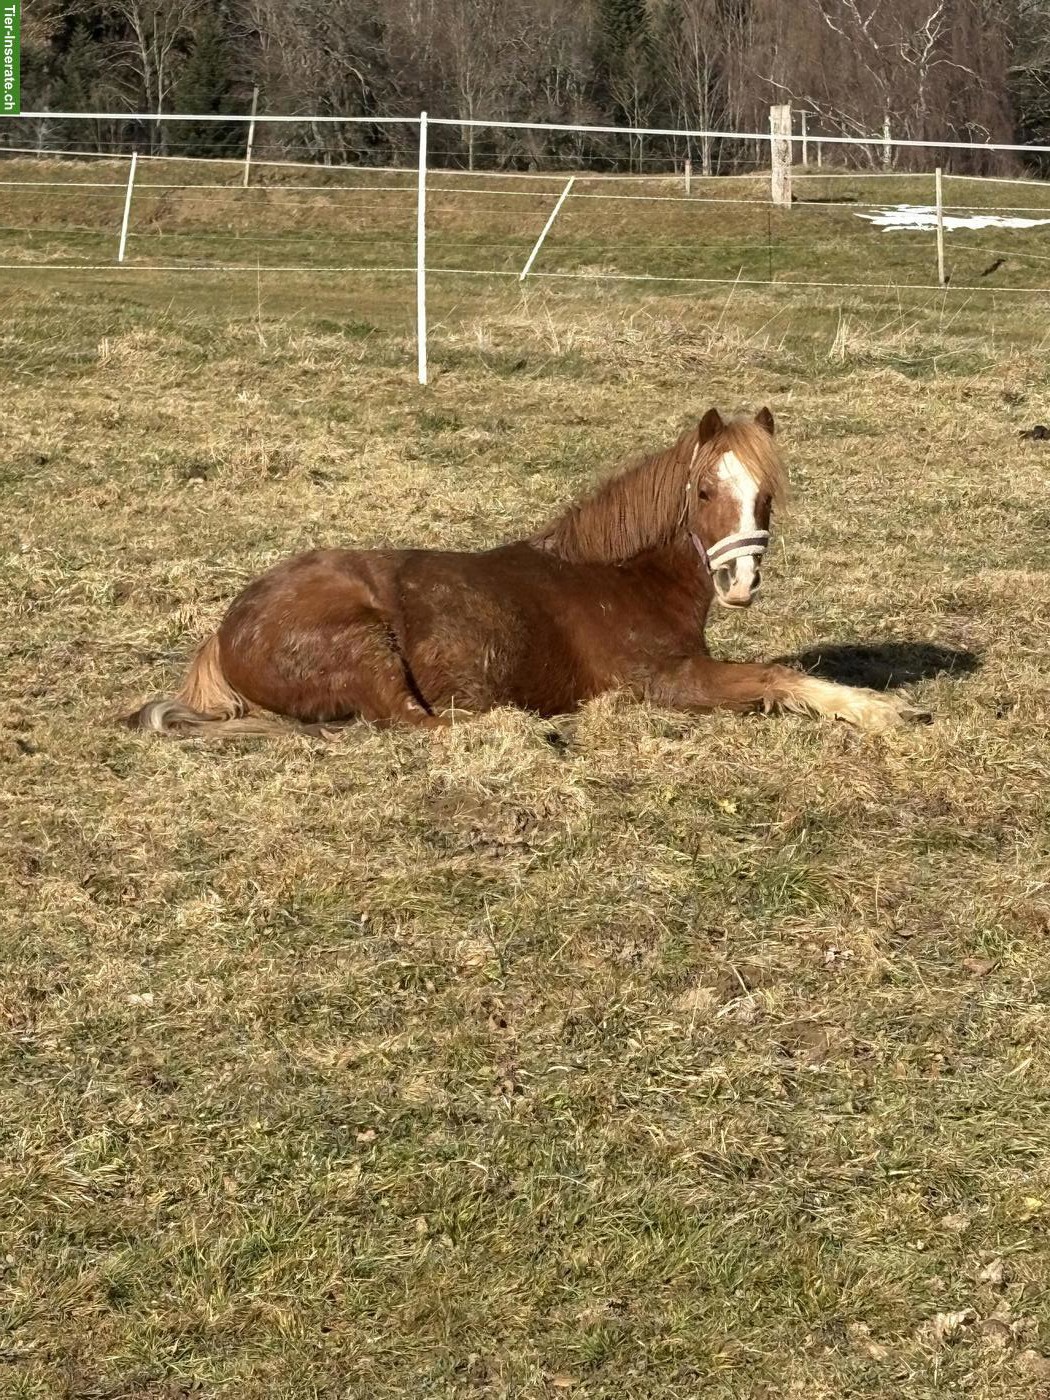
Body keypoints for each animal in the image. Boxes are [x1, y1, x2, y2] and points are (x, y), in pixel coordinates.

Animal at [127, 407, 918, 738]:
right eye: (701, 491)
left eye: (767, 495)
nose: (742, 583)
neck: (624, 580)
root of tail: (224, 633)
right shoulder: (670, 682)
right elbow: (775, 679)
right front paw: (880, 711)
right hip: (367, 644)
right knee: (422, 724)